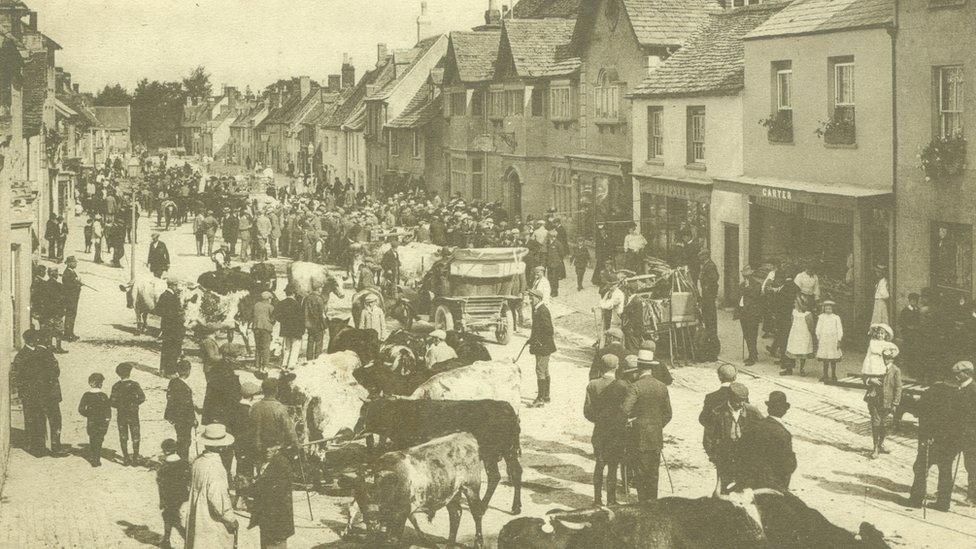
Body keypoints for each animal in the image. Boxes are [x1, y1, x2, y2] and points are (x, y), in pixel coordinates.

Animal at [350, 434, 488, 544]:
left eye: (375, 494)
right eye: (359, 497)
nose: (370, 518)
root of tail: (467, 436)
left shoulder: (400, 514)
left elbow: (393, 539)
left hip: (472, 488)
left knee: (477, 513)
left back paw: (478, 542)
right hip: (451, 493)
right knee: (456, 513)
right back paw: (450, 543)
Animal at [358, 398, 524, 512]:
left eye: (370, 413)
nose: (360, 429)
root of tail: (505, 407)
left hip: (492, 453)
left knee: (496, 476)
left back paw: (484, 505)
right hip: (508, 451)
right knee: (514, 472)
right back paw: (516, 507)